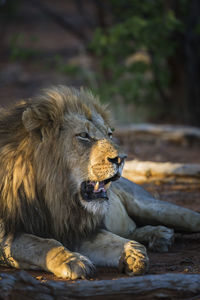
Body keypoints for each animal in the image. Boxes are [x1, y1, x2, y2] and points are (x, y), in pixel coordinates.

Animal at [0, 86, 199, 278]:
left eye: (109, 134)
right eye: (84, 135)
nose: (121, 159)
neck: (56, 197)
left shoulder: (80, 230)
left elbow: (114, 241)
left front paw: (133, 254)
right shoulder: (8, 236)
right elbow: (42, 244)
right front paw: (72, 260)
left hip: (153, 207)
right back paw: (159, 235)